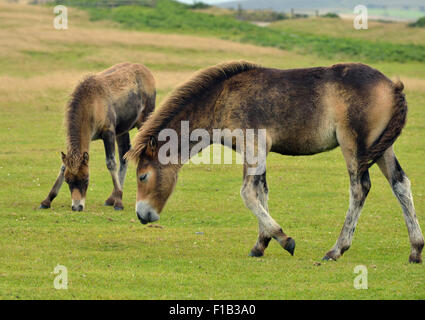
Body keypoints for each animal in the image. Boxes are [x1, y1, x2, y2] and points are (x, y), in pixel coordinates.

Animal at [39, 62, 156, 211]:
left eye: (86, 179)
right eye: (68, 180)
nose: (77, 207)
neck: (91, 105)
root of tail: (147, 71)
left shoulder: (108, 132)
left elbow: (111, 163)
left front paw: (119, 201)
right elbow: (63, 166)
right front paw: (47, 200)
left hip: (144, 121)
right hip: (122, 131)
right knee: (124, 154)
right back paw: (111, 198)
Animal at [123, 61, 420, 264]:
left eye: (142, 176)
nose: (142, 215)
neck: (222, 99)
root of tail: (392, 86)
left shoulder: (253, 145)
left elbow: (248, 193)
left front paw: (283, 239)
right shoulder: (256, 152)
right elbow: (262, 192)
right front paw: (261, 243)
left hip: (354, 147)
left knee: (360, 188)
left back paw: (336, 250)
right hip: (382, 148)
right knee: (400, 183)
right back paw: (416, 249)